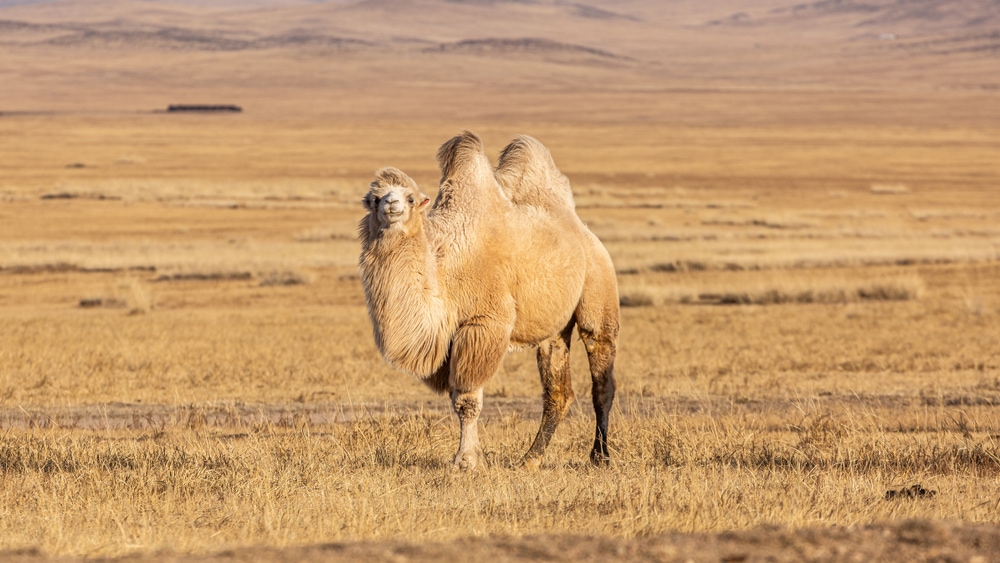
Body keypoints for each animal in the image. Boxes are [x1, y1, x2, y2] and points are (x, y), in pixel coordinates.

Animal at [358, 131, 619, 470]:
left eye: (411, 197)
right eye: (375, 198)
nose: (392, 204)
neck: (445, 267)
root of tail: (582, 231)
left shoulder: (483, 324)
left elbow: (467, 399)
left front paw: (466, 460)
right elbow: (457, 398)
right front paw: (471, 457)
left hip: (599, 287)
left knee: (602, 378)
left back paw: (600, 456)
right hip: (553, 329)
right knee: (558, 391)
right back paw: (530, 459)